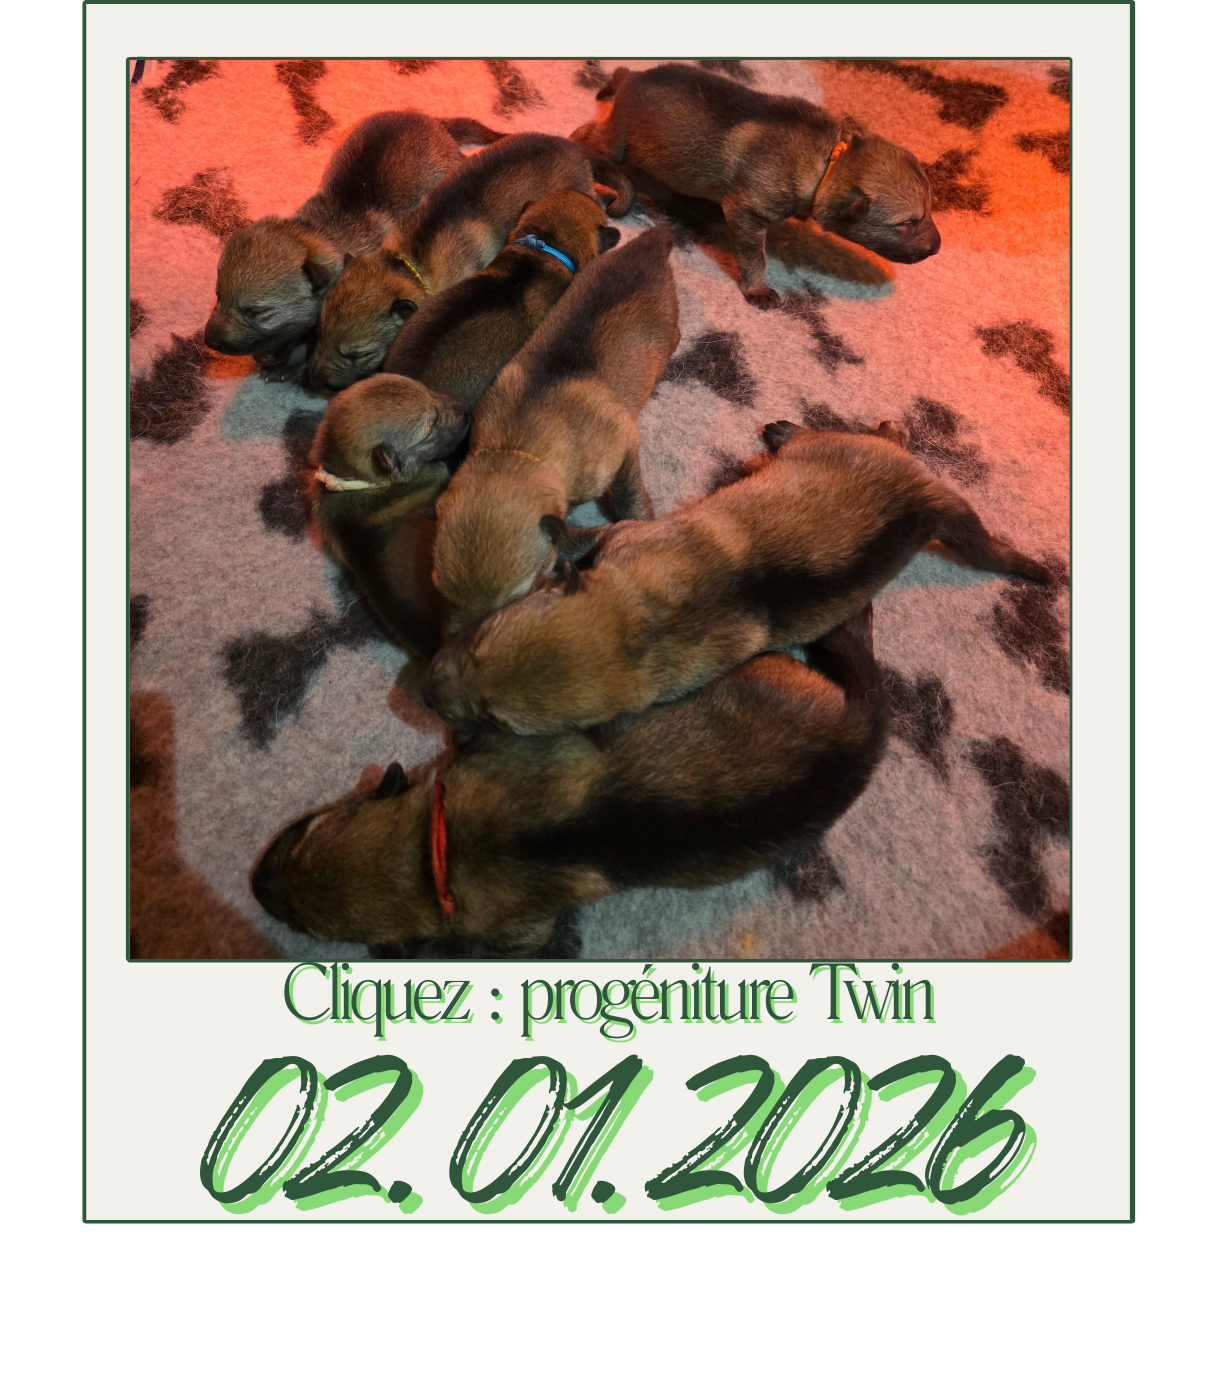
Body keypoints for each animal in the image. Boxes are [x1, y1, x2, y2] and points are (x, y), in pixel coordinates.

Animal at [250, 613, 887, 954]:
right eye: (302, 832)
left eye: (307, 928)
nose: (255, 886)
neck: (434, 854)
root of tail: (864, 730)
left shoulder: (519, 932)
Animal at [423, 420, 1050, 736]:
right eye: (478, 644)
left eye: (498, 721)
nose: (425, 694)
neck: (644, 625)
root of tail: (922, 495)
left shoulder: (623, 538)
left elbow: (587, 534)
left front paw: (557, 536)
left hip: (833, 448)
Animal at [430, 224, 679, 636]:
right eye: (441, 591)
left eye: (521, 595)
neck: (518, 448)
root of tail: (651, 241)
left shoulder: (625, 443)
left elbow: (628, 496)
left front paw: (643, 524)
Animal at [571, 64, 938, 307]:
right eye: (908, 223)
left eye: (928, 211)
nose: (937, 248)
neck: (828, 163)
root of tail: (632, 77)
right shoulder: (748, 212)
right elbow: (754, 256)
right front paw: (757, 289)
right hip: (619, 139)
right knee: (589, 135)